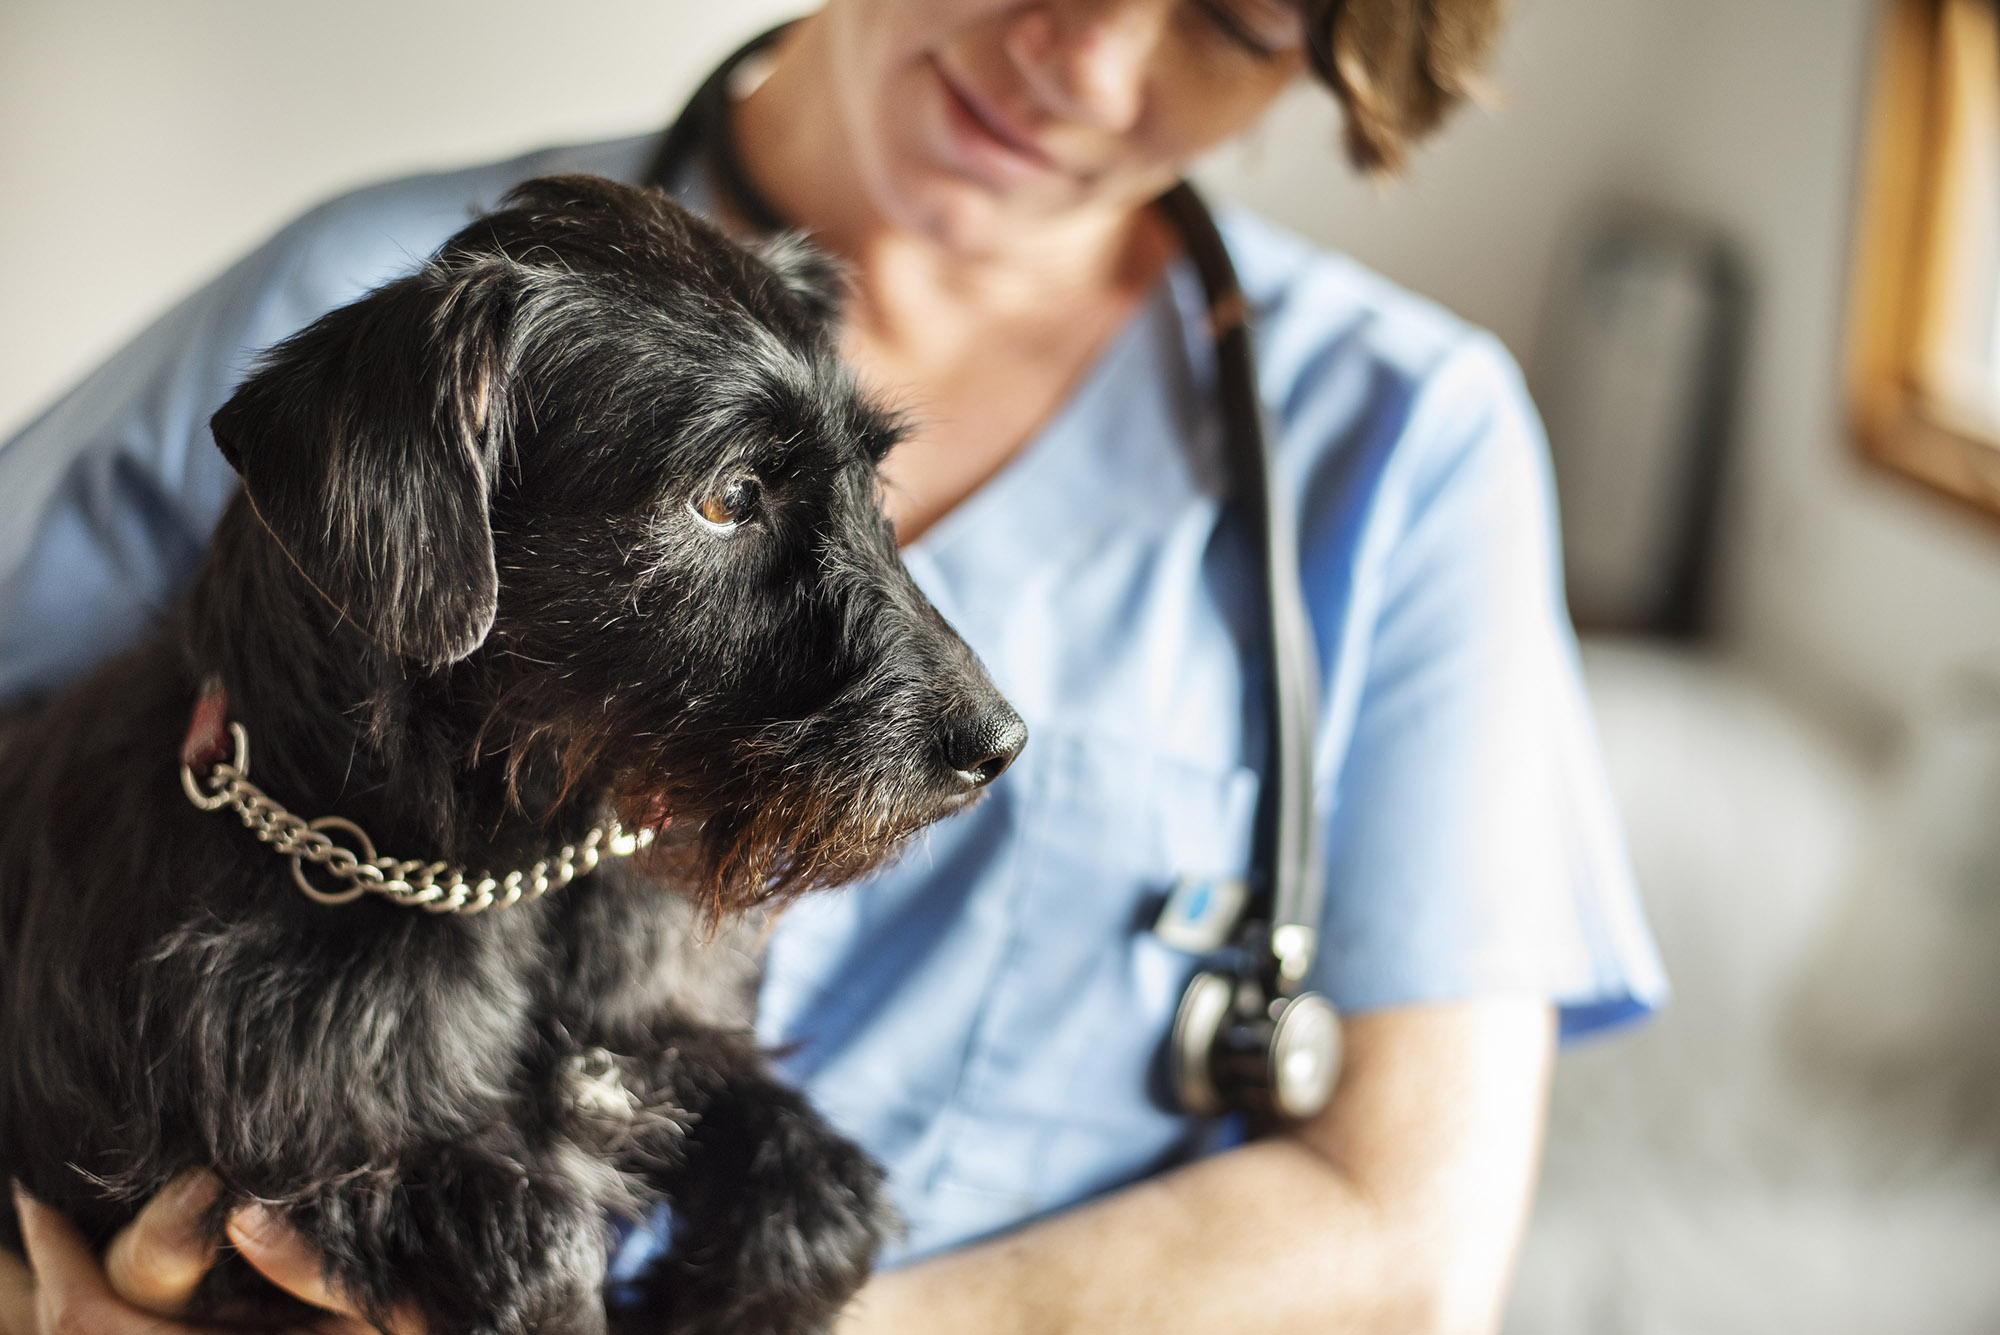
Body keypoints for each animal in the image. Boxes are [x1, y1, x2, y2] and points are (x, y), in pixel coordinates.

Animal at [0, 176, 1024, 1335]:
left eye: (874, 476)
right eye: (728, 497)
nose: (999, 744)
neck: (510, 873)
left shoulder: (666, 1047)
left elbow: (827, 1195)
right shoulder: (339, 1175)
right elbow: (536, 1246)